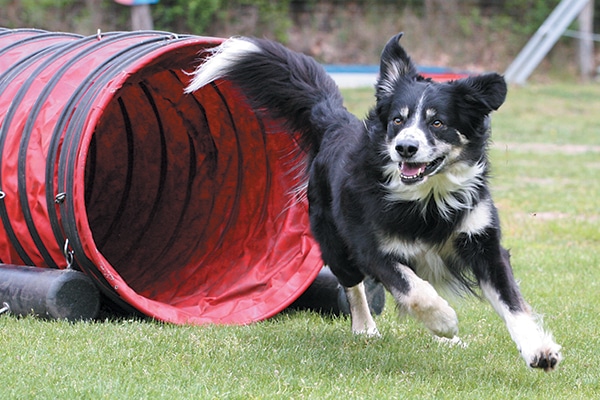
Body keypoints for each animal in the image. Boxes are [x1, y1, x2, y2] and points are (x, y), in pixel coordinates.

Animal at [188, 32, 564, 370]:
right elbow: (412, 289)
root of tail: (336, 123)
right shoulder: (372, 246)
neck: (428, 198)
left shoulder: (482, 241)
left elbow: (511, 301)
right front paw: (444, 320)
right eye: (398, 119)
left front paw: (538, 349)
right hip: (334, 241)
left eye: (437, 122)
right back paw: (367, 328)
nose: (405, 147)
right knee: (353, 283)